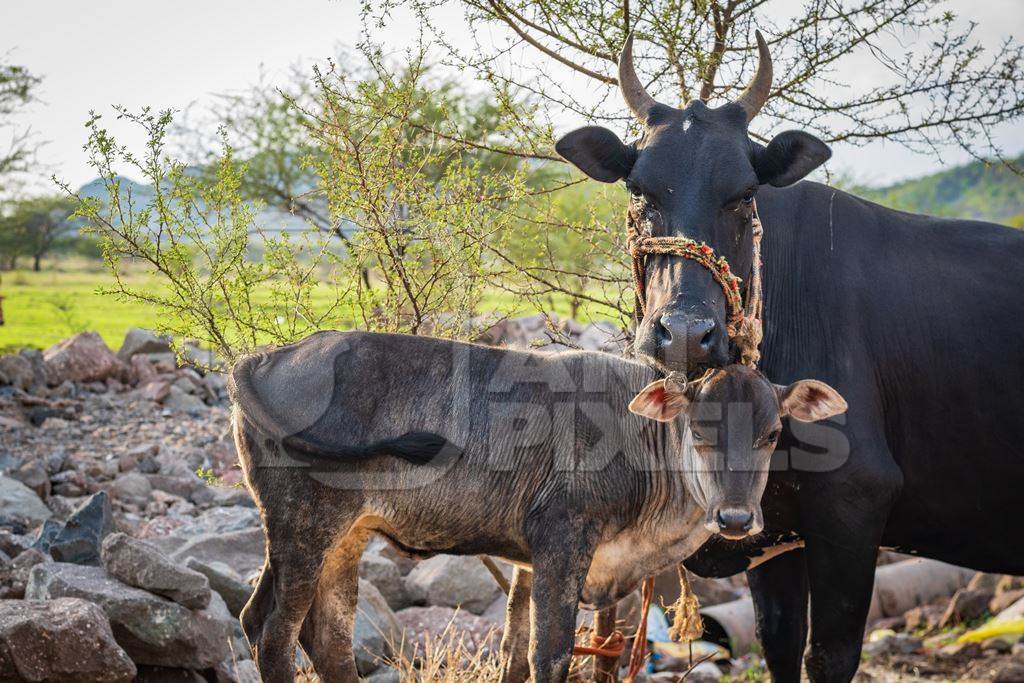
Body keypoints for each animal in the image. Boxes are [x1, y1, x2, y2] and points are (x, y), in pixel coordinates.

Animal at [557, 31, 1024, 683]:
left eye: (745, 193)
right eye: (638, 188)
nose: (685, 333)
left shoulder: (853, 507)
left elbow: (827, 655)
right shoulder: (768, 525)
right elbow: (778, 640)